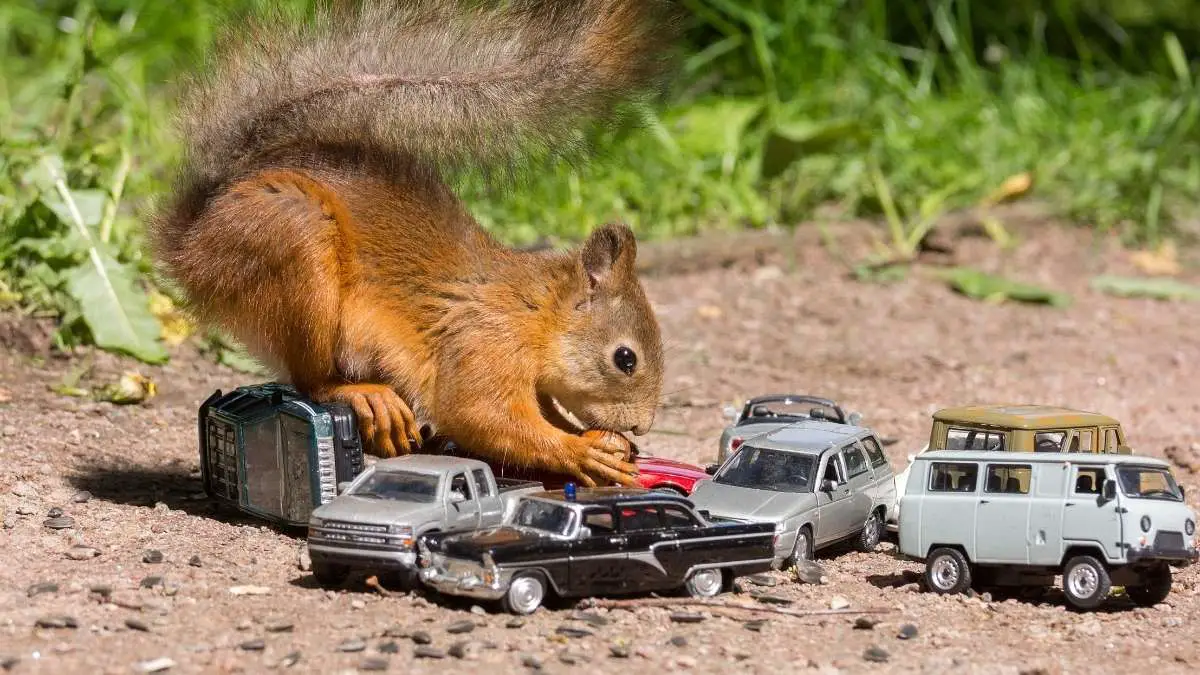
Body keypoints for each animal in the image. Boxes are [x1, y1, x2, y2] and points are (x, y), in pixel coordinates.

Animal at [147, 0, 686, 485]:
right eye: (625, 358)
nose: (643, 426)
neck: (537, 314)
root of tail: (192, 238)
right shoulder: (485, 342)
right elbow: (478, 412)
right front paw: (579, 452)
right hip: (296, 242)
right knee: (311, 381)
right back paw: (362, 394)